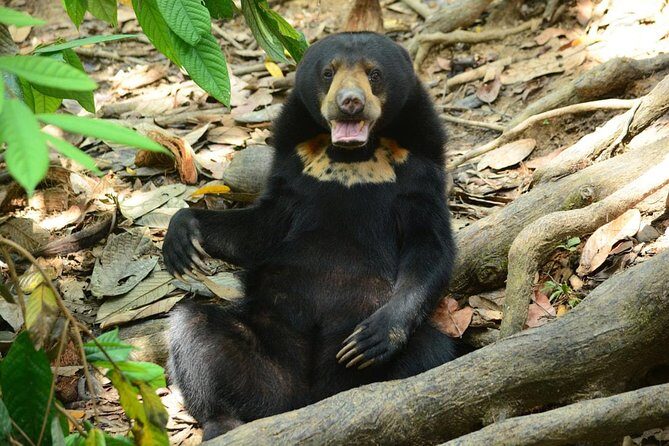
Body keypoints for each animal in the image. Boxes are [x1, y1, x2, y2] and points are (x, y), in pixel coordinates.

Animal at [163, 31, 459, 440]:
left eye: (374, 73)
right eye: (328, 72)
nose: (350, 102)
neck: (352, 157)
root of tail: (309, 394)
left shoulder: (419, 173)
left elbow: (430, 249)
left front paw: (374, 336)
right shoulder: (295, 167)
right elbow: (260, 229)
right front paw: (182, 238)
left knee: (431, 353)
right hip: (267, 348)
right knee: (193, 331)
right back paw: (222, 424)